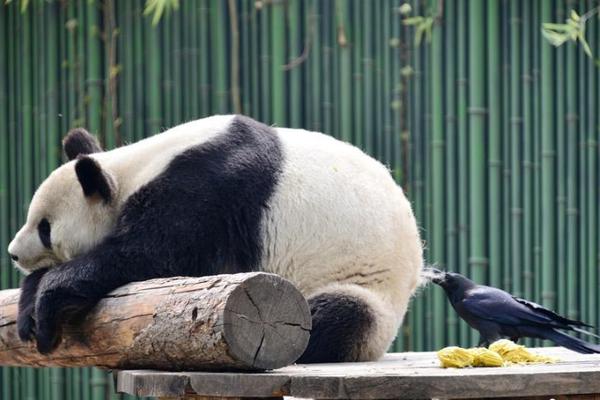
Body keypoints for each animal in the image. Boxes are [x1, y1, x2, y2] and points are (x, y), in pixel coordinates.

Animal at [7, 114, 424, 360]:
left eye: (45, 228)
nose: (13, 253)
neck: (130, 170)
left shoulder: (208, 190)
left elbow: (152, 257)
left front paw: (48, 299)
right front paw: (30, 304)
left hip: (365, 290)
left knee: (334, 314)